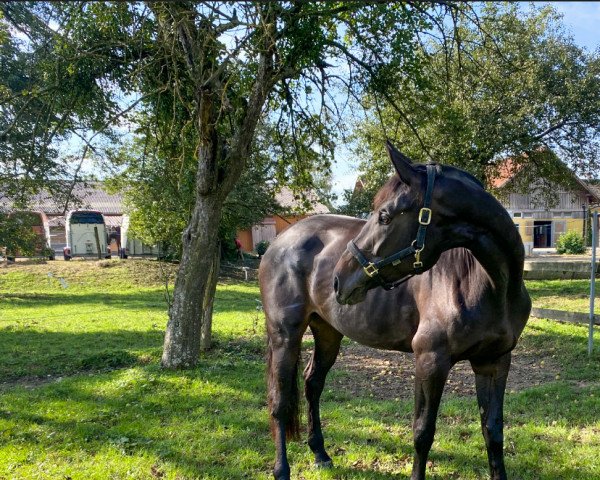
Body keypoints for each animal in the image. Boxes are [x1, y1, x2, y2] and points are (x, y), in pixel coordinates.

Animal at [260, 142, 532, 480]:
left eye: (385, 216)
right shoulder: (430, 360)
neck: (489, 285)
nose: (338, 280)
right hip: (285, 334)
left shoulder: (493, 362)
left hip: (327, 332)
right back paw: (281, 469)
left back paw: (320, 454)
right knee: (279, 400)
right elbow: (423, 433)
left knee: (312, 384)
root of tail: (278, 243)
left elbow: (493, 432)